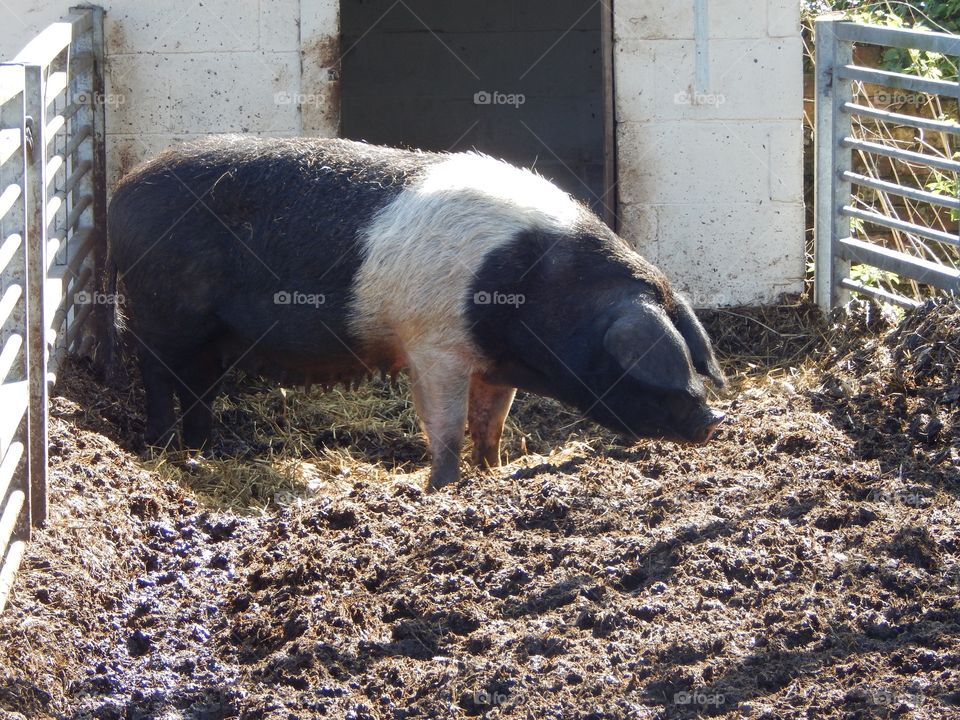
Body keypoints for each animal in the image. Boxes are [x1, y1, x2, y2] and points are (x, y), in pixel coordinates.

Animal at [106, 135, 725, 490]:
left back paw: (201, 449)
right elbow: (446, 424)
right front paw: (443, 487)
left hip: (210, 335)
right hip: (162, 310)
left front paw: (494, 471)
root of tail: (123, 189)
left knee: (199, 385)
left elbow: (491, 421)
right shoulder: (435, 345)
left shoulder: (493, 361)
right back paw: (164, 448)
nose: (715, 419)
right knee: (155, 371)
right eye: (654, 367)